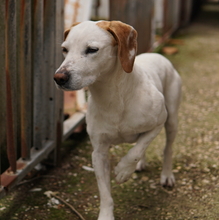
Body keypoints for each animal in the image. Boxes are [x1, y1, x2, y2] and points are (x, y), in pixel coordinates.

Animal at [54, 20, 182, 220]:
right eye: (64, 49)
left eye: (92, 49)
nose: (59, 77)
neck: (113, 98)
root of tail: (157, 54)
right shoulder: (98, 153)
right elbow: (105, 193)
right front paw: (106, 215)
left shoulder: (159, 122)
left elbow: (135, 151)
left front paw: (123, 170)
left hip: (172, 121)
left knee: (167, 149)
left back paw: (166, 175)